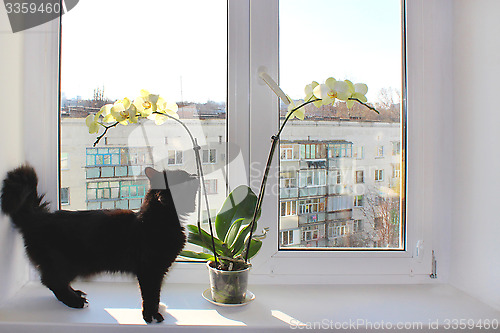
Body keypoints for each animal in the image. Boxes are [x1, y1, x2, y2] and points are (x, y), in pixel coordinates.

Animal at [0, 165, 198, 322]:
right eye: (184, 178)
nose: (195, 175)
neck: (157, 220)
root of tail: (39, 218)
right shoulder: (150, 269)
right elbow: (151, 295)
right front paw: (151, 315)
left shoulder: (157, 270)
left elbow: (155, 294)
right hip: (65, 263)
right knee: (51, 281)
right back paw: (74, 301)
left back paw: (76, 293)